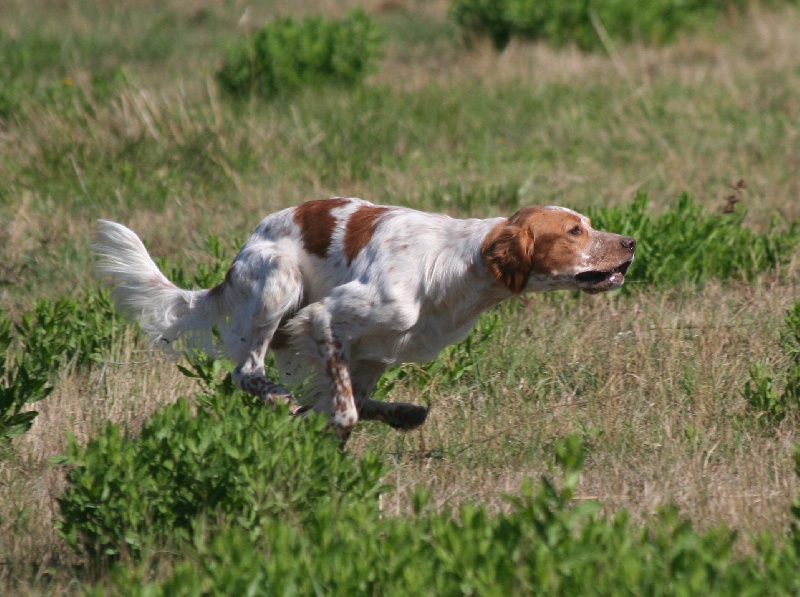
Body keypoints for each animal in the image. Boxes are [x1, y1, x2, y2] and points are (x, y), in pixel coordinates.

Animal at [94, 198, 636, 440]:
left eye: (588, 225)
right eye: (574, 230)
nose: (630, 242)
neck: (459, 266)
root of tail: (239, 254)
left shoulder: (375, 347)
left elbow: (345, 400)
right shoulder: (323, 319)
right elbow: (344, 410)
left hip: (371, 350)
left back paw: (402, 413)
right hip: (278, 284)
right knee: (247, 371)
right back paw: (278, 397)